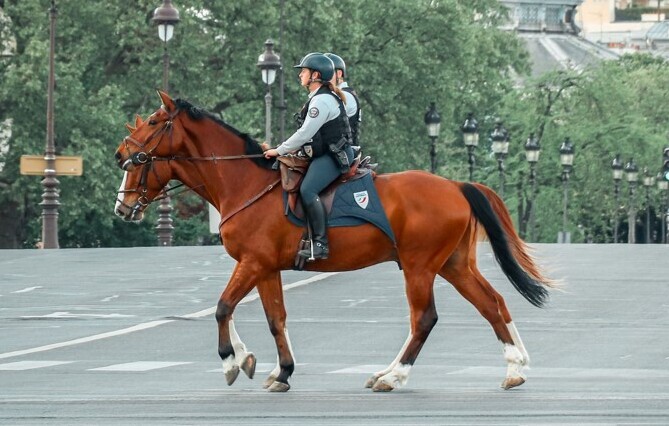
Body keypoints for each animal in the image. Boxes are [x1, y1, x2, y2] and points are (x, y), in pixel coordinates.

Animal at [113, 92, 552, 392]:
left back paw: (393, 375)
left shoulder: (252, 262)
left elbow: (222, 308)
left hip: (420, 267)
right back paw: (514, 366)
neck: (246, 183)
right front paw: (281, 370)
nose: (122, 155)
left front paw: (232, 361)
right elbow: (275, 319)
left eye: (153, 121)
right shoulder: (266, 268)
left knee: (424, 319)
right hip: (454, 265)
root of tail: (457, 186)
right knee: (492, 304)